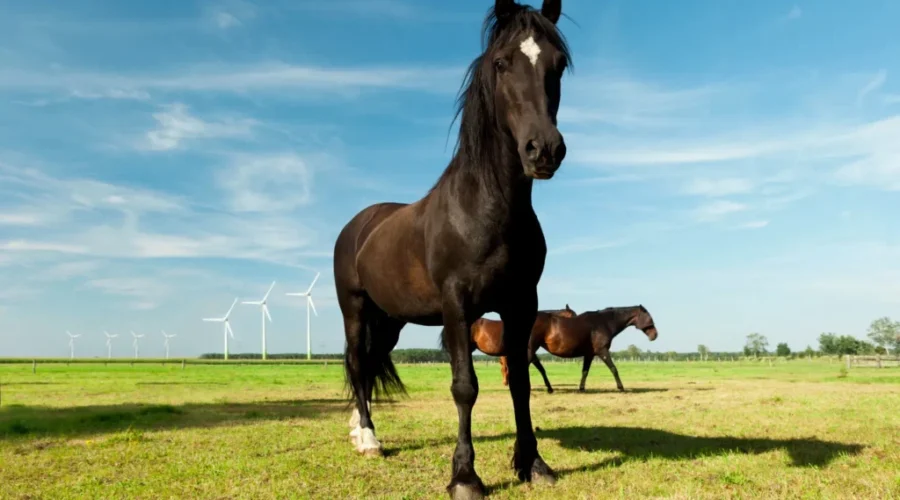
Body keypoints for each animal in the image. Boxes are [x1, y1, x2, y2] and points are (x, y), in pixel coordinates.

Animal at [331, 0, 572, 497]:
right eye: (501, 63)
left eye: (558, 65)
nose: (544, 150)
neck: (486, 207)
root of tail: (357, 226)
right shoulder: (457, 305)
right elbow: (465, 387)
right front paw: (465, 476)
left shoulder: (521, 304)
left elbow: (520, 383)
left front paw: (533, 464)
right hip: (356, 310)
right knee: (357, 362)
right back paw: (367, 437)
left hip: (391, 320)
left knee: (370, 363)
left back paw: (357, 427)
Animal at [498, 305, 659, 393]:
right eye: (649, 317)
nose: (655, 335)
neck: (604, 322)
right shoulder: (602, 351)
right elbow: (613, 368)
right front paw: (621, 387)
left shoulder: (589, 354)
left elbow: (585, 371)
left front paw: (581, 388)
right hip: (530, 350)